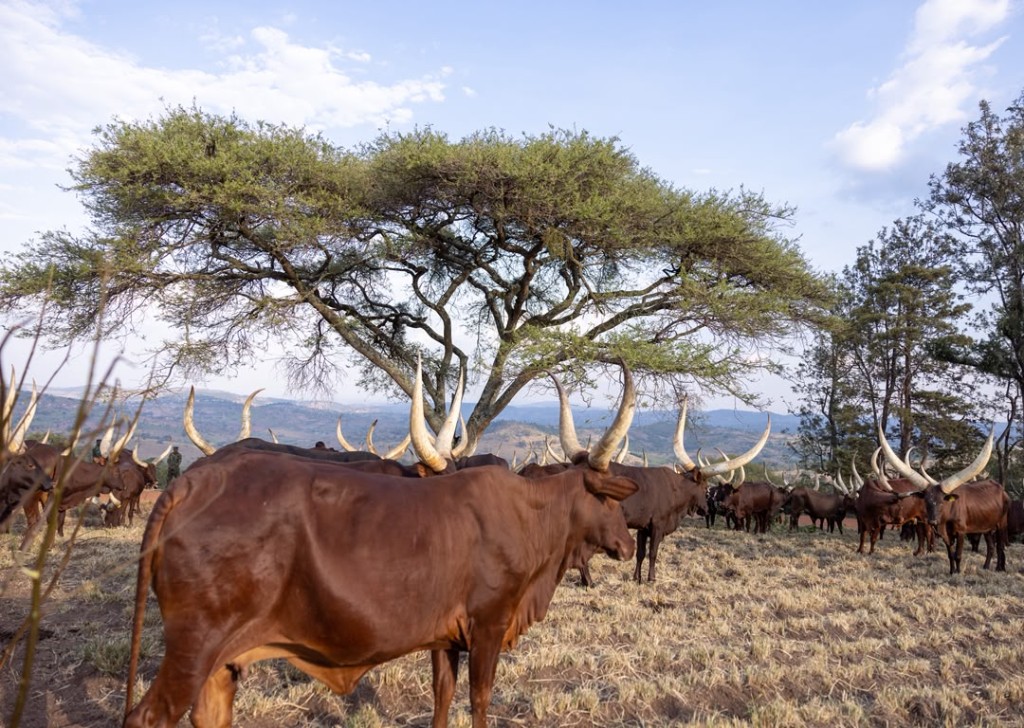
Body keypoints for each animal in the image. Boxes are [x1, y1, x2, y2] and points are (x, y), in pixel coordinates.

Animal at [123, 361, 639, 728]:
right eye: (608, 498)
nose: (629, 546)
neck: (527, 514)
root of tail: (191, 483)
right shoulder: (488, 627)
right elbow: (479, 700)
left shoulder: (446, 637)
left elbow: (443, 696)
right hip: (193, 651)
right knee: (149, 716)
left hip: (220, 665)